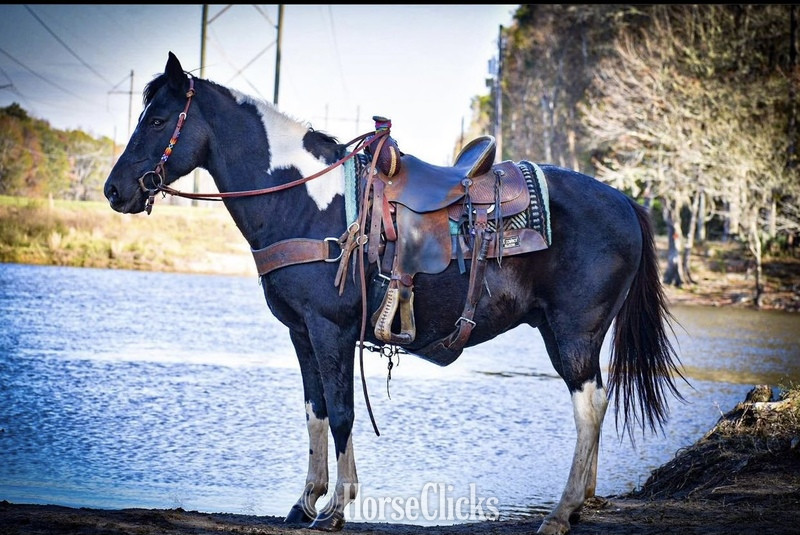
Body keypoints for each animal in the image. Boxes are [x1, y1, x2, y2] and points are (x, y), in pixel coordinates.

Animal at [104, 52, 684, 535]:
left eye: (157, 120)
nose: (114, 190)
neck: (304, 200)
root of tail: (625, 201)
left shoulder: (331, 330)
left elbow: (341, 412)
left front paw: (336, 509)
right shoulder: (301, 333)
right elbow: (315, 411)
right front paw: (305, 502)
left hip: (573, 332)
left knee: (589, 405)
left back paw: (561, 513)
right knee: (597, 402)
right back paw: (581, 502)